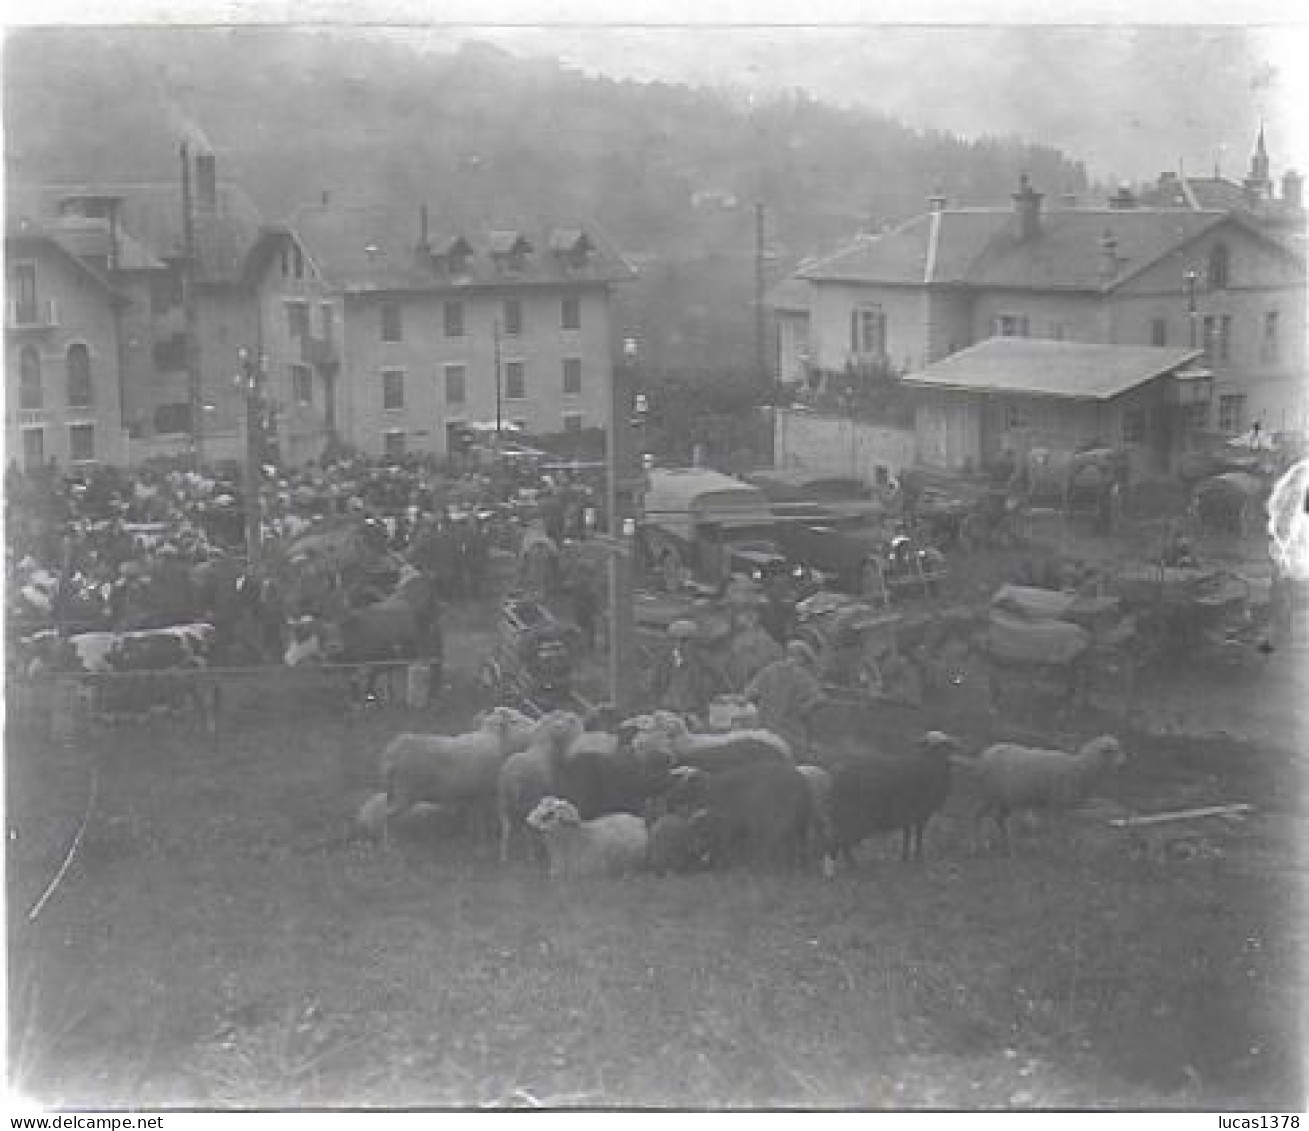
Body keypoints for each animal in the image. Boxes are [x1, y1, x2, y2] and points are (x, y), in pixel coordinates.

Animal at [497, 712, 586, 863]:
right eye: (567, 723)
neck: (544, 745)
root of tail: (513, 777)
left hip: (504, 803)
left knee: (506, 828)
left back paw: (504, 857)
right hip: (526, 801)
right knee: (527, 827)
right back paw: (532, 855)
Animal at [827, 733, 963, 874]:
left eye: (944, 744)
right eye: (927, 743)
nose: (935, 749)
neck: (929, 764)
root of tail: (836, 777)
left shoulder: (913, 816)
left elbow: (910, 836)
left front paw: (907, 859)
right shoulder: (917, 813)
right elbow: (915, 836)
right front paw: (916, 859)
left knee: (839, 841)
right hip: (854, 816)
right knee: (841, 841)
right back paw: (853, 867)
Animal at [968, 733, 1130, 848]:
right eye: (1113, 751)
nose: (1124, 765)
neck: (1080, 768)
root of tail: (986, 753)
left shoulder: (1057, 805)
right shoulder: (1057, 804)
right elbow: (1056, 828)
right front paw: (1057, 846)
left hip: (1007, 798)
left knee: (999, 818)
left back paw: (1008, 844)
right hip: (989, 794)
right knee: (977, 816)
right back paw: (977, 844)